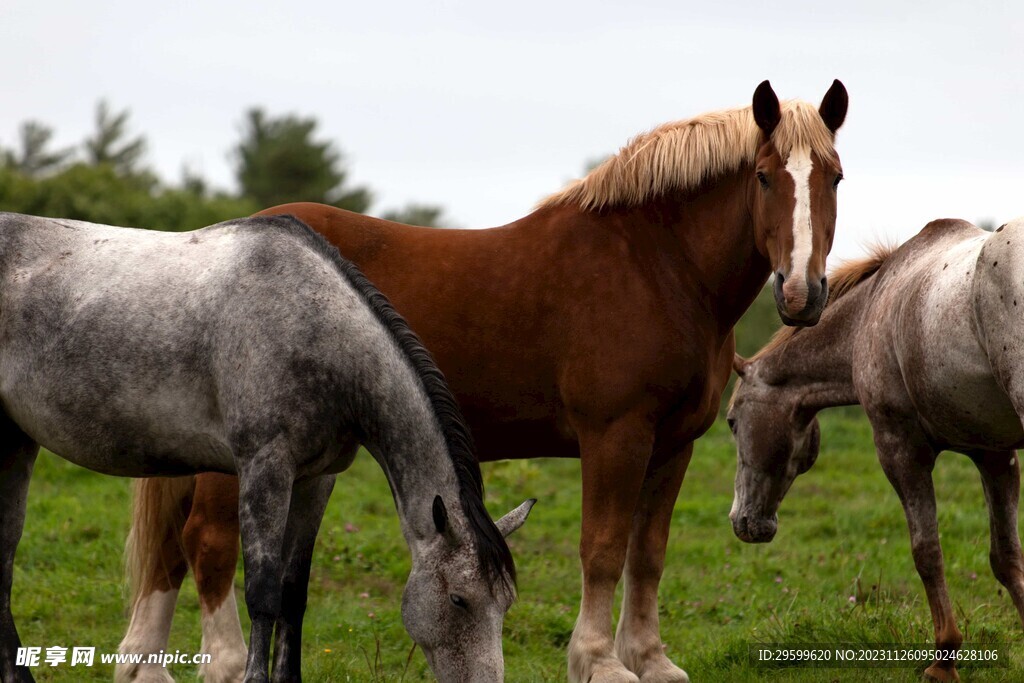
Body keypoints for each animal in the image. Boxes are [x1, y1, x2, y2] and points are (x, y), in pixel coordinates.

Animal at [0, 214, 532, 683]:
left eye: (506, 602)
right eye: (459, 599)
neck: (315, 329)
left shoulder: (316, 479)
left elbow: (293, 592)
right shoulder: (264, 468)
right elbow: (262, 590)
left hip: (16, 443)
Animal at [116, 81, 847, 683]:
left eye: (835, 177)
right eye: (763, 178)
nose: (800, 294)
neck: (654, 266)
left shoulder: (674, 444)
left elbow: (648, 553)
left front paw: (651, 660)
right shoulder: (616, 435)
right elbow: (603, 547)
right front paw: (599, 663)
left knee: (172, 552)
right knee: (208, 543)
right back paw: (221, 663)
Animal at [729, 220, 1024, 683]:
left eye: (732, 422)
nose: (743, 522)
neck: (871, 311)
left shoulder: (899, 451)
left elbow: (927, 551)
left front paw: (944, 659)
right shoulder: (995, 456)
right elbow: (1006, 557)